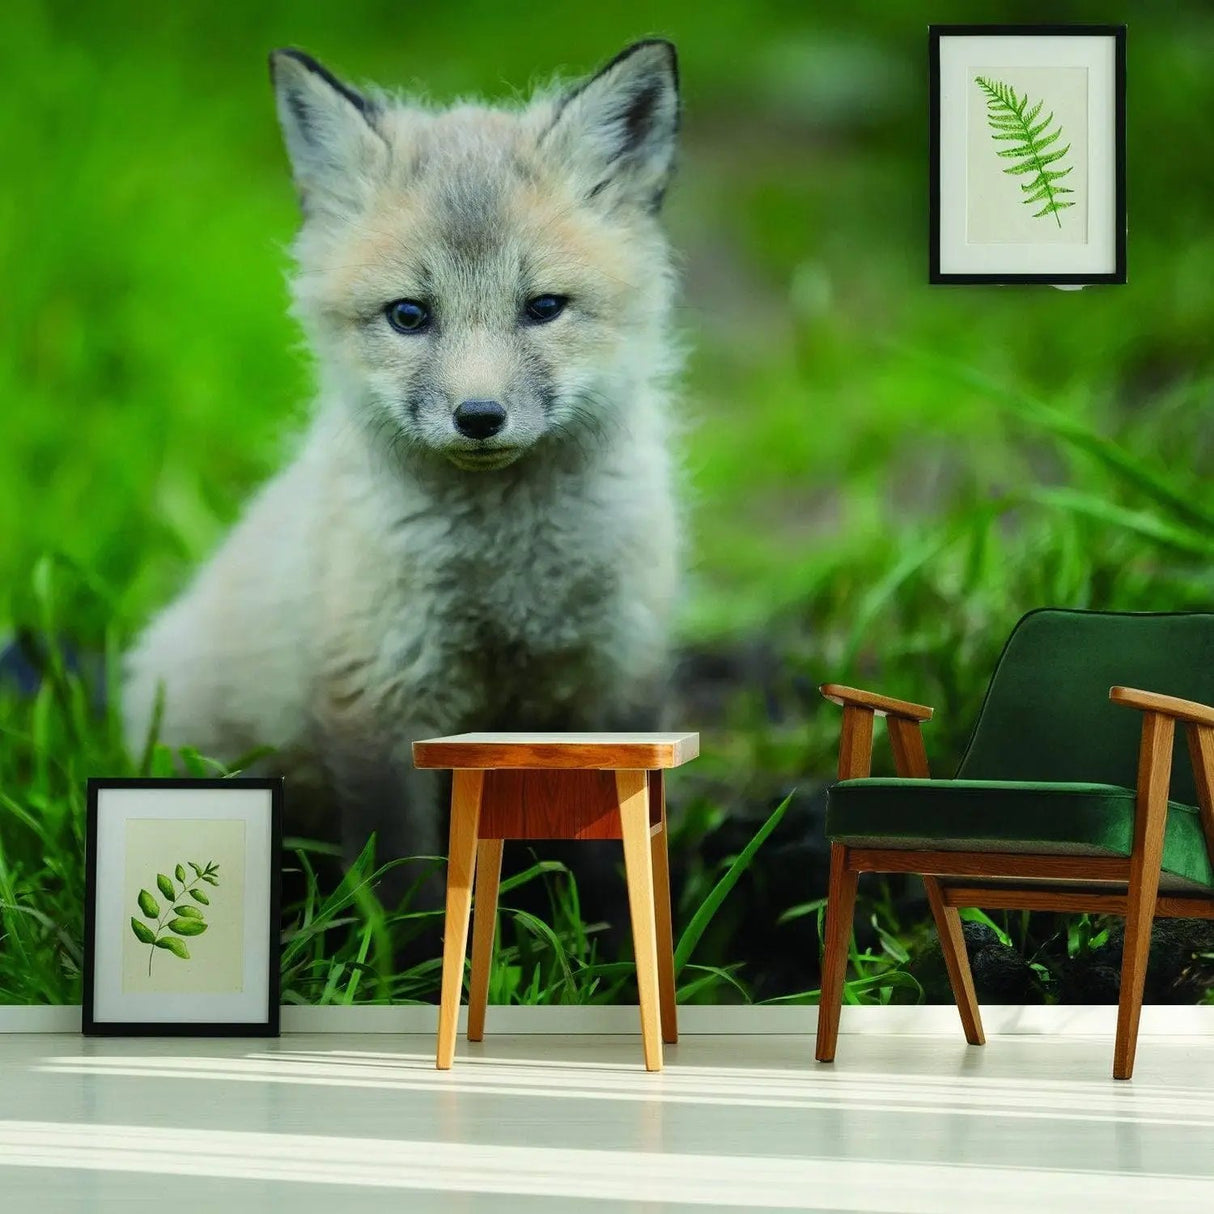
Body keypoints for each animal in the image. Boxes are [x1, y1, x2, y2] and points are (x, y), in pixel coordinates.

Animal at [121, 40, 685, 917]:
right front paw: (413, 952)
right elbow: (407, 882)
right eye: (409, 316)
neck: (506, 571)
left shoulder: (616, 676)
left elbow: (608, 873)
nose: (479, 416)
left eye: (544, 307)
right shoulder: (379, 700)